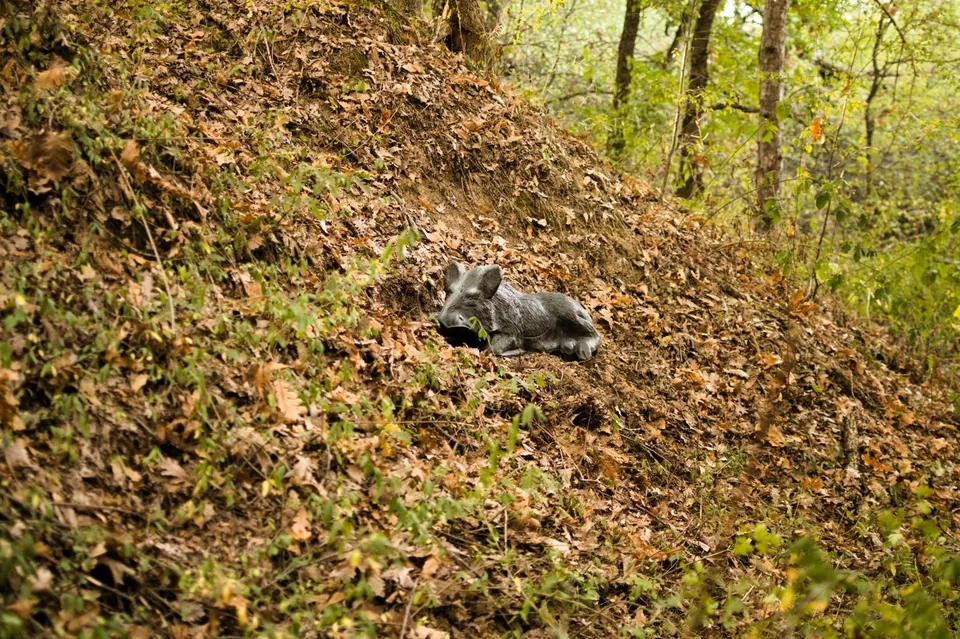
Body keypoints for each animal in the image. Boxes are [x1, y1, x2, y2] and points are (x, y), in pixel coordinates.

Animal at [436, 261, 601, 361]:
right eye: (449, 291)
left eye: (472, 296)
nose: (441, 320)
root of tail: (584, 312)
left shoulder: (512, 332)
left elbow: (492, 349)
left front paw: (519, 352)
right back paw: (568, 348)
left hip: (573, 316)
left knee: (595, 335)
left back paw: (582, 352)